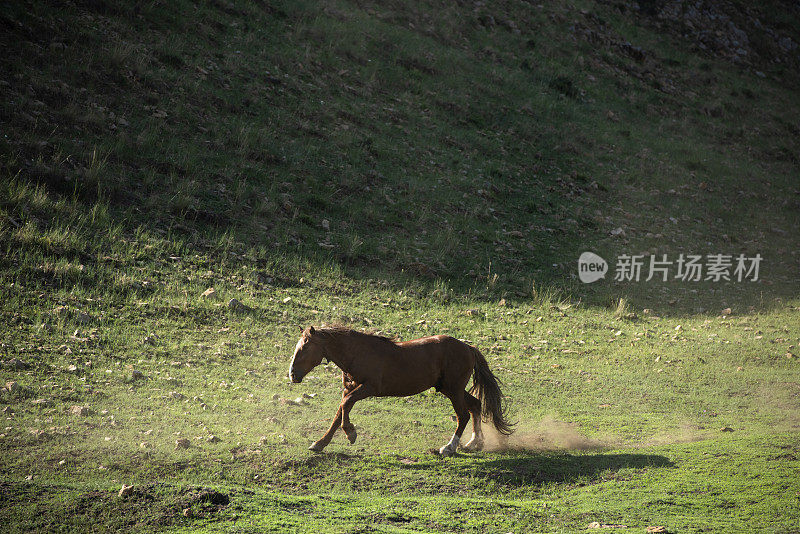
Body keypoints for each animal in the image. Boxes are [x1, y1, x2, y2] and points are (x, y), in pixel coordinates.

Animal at [288, 326, 512, 456]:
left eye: (305, 347)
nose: (292, 374)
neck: (358, 353)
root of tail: (468, 348)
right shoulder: (349, 389)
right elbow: (339, 412)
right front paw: (320, 443)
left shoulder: (368, 388)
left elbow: (344, 406)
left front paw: (351, 433)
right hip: (450, 389)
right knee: (475, 405)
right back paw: (475, 443)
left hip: (453, 390)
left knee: (463, 415)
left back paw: (449, 447)